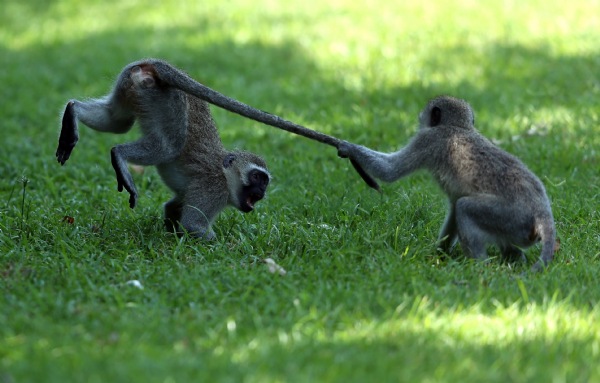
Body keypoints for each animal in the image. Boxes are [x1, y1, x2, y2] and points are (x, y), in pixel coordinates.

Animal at [338, 95, 556, 272]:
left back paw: (479, 266)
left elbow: (389, 170)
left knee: (465, 207)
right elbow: (452, 212)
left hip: (511, 217)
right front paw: (439, 254)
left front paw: (347, 147)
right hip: (517, 228)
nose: (419, 117)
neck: (459, 127)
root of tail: (542, 212)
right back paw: (512, 259)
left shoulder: (427, 140)